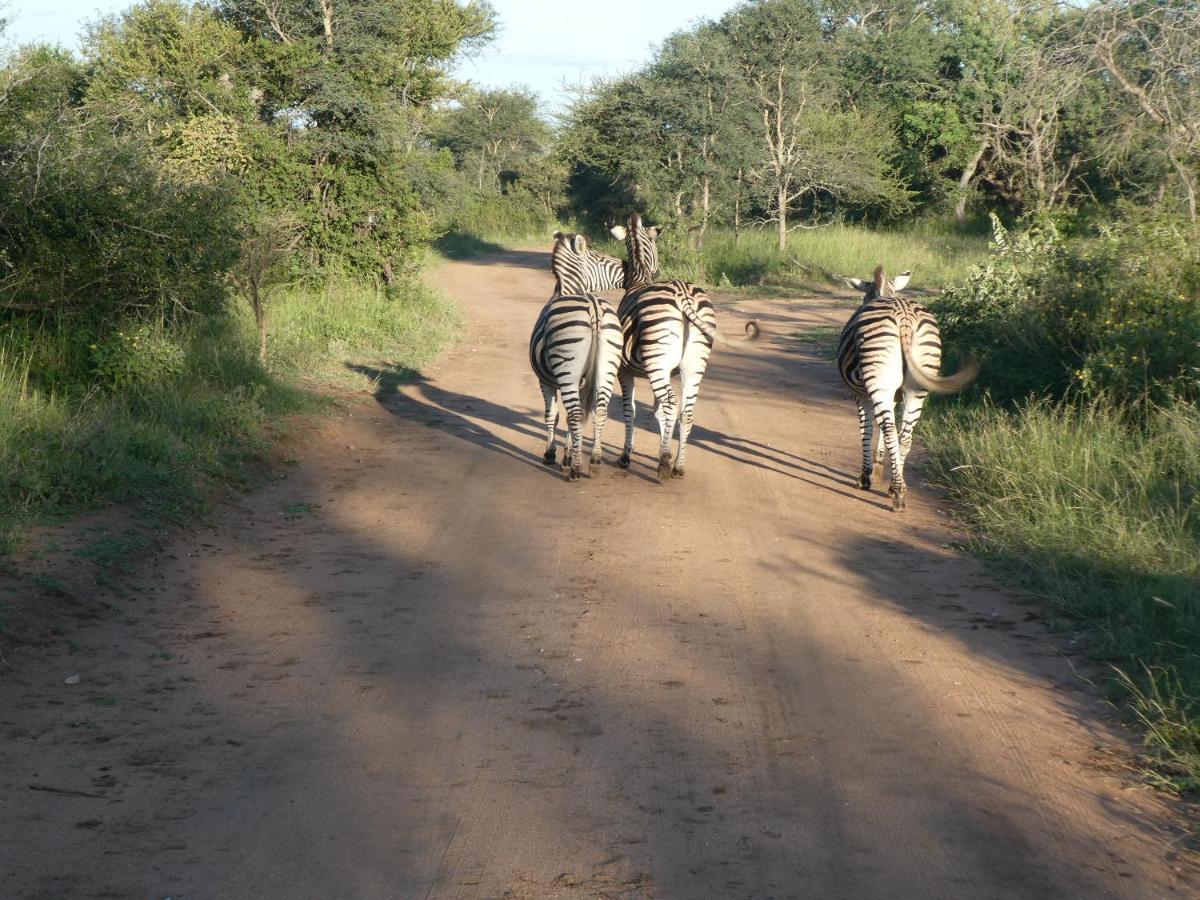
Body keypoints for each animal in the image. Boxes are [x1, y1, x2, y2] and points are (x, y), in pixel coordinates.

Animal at [530, 236, 624, 482]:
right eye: (600, 258)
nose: (628, 265)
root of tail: (593, 305)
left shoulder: (546, 381)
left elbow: (552, 416)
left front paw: (552, 454)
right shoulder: (582, 382)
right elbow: (571, 420)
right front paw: (568, 455)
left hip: (567, 372)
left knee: (574, 414)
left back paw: (576, 470)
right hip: (606, 368)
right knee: (599, 411)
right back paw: (595, 461)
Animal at [609, 213, 710, 482]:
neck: (639, 280)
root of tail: (683, 293)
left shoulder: (625, 371)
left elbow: (630, 410)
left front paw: (626, 456)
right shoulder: (668, 373)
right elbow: (658, 413)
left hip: (657, 364)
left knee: (672, 404)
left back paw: (664, 464)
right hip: (691, 367)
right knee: (686, 411)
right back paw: (678, 465)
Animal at [840, 264, 979, 511]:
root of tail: (903, 316)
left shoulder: (861, 395)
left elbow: (867, 431)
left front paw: (866, 476)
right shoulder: (895, 396)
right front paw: (878, 468)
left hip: (880, 381)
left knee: (890, 430)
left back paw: (897, 493)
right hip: (917, 387)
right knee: (904, 435)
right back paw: (897, 487)